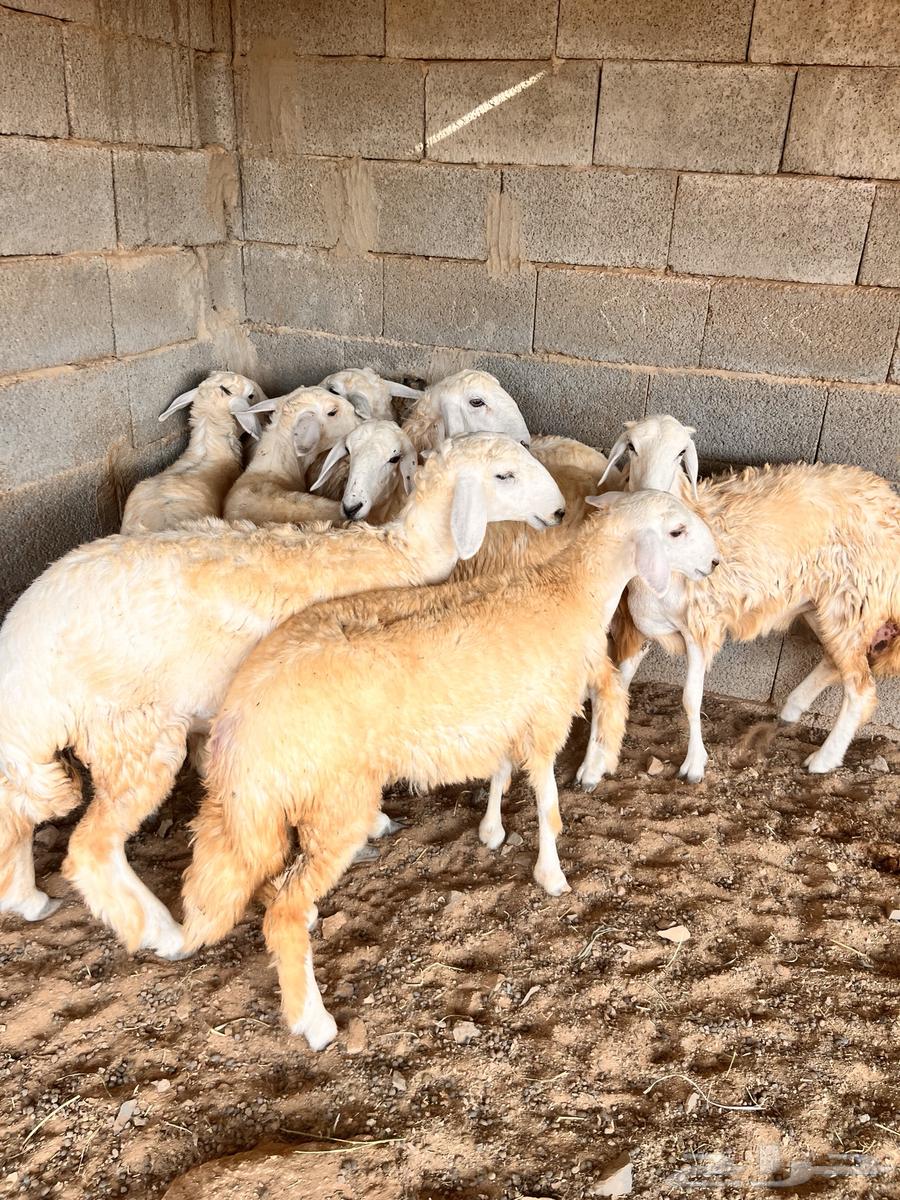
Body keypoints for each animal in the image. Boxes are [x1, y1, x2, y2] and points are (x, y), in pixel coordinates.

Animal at [0, 436, 565, 957]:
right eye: (505, 475)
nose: (560, 510)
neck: (399, 555)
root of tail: (23, 642)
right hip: (131, 730)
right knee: (90, 846)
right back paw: (161, 932)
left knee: (18, 806)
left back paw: (29, 898)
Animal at [180, 489, 719, 1046]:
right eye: (676, 531)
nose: (716, 563)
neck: (570, 593)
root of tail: (241, 718)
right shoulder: (547, 717)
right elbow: (549, 806)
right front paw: (551, 876)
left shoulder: (505, 717)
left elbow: (501, 774)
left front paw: (492, 832)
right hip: (336, 799)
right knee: (282, 910)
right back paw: (315, 1021)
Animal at [578, 414, 900, 784]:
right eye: (631, 447)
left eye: (680, 453)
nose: (652, 496)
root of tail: (887, 497)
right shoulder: (638, 625)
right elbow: (612, 688)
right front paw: (592, 765)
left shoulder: (701, 626)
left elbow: (690, 698)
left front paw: (694, 764)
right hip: (825, 606)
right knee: (838, 661)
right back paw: (793, 708)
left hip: (853, 598)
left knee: (861, 688)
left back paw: (824, 758)